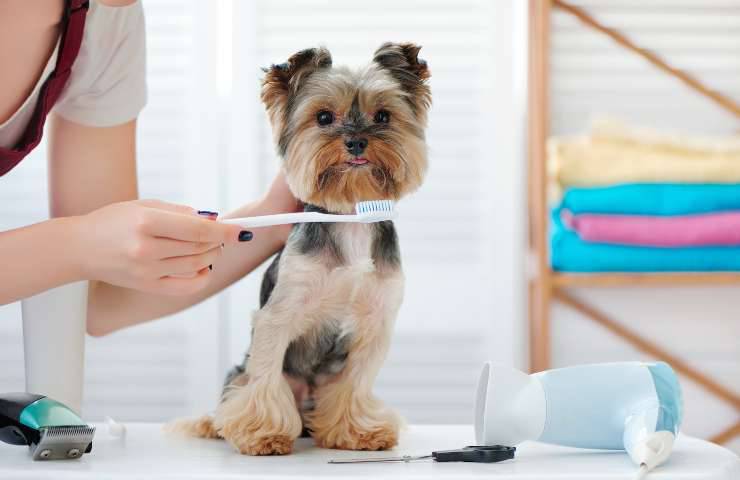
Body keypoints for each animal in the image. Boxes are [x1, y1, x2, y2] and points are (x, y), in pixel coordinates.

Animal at [168, 41, 430, 454]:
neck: (349, 217)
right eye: (323, 117)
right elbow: (264, 377)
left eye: (383, 116)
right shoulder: (280, 314)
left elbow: (356, 383)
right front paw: (263, 434)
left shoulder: (375, 321)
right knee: (240, 387)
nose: (356, 141)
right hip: (242, 371)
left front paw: (359, 431)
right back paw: (218, 424)